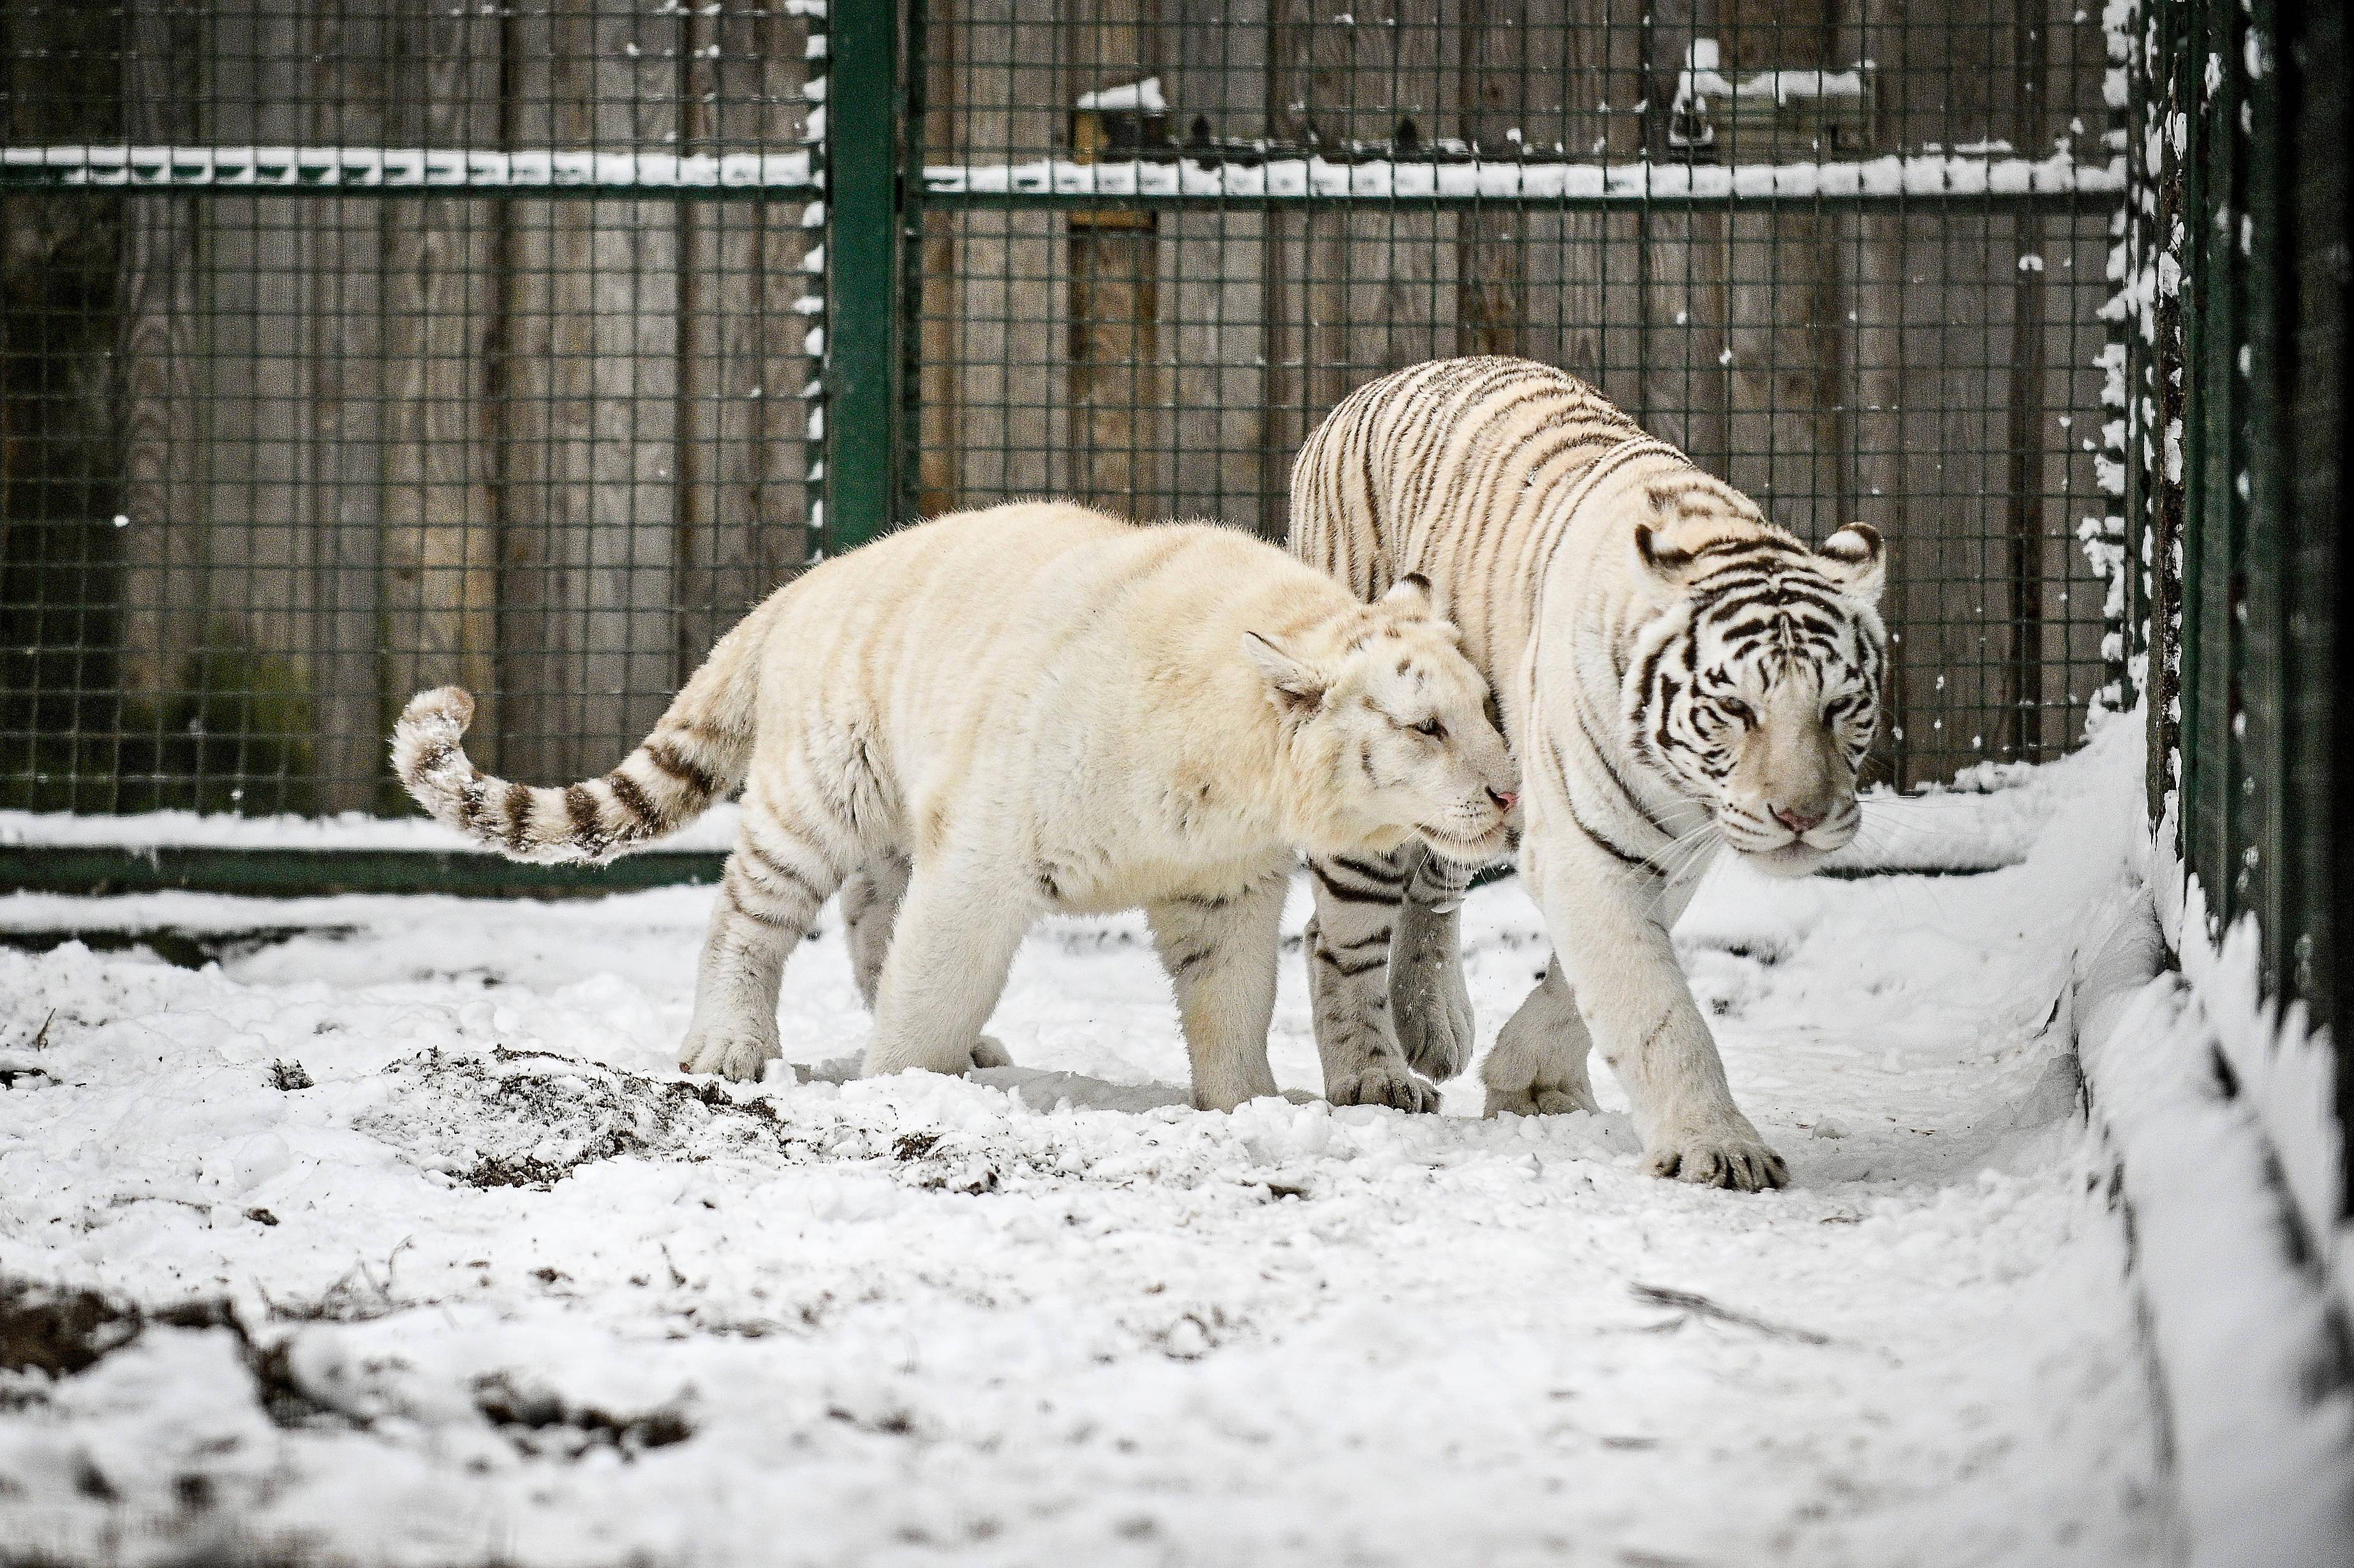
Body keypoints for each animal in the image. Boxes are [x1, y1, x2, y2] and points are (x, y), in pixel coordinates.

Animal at [395, 494, 1516, 1106]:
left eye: (1485, 704)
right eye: (1425, 727)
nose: (1511, 790)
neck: (1234, 778)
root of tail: (797, 588)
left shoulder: (1221, 887)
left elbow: (1233, 1002)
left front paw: (1247, 1104)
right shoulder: (987, 854)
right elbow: (937, 979)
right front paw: (891, 1089)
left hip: (895, 813)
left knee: (869, 915)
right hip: (817, 795)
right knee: (749, 916)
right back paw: (730, 1046)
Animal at [1290, 353, 1892, 1187]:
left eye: (1840, 705)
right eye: (1736, 708)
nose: (1801, 817)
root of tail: (1368, 390)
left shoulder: (1666, 855)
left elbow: (1585, 991)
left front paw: (1533, 1084)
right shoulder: (1589, 852)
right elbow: (1655, 1006)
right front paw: (1720, 1146)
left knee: (1435, 884)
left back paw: (1434, 1025)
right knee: (1337, 934)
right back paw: (1370, 1076)